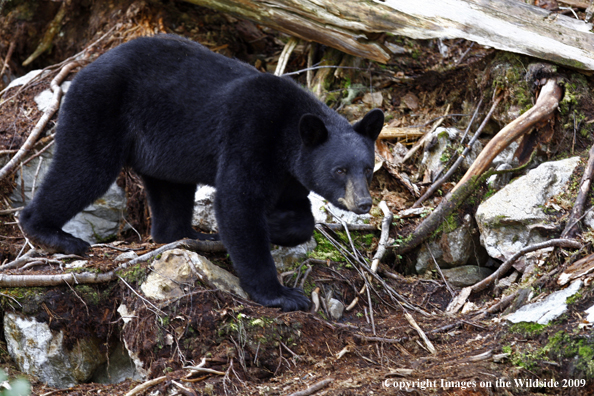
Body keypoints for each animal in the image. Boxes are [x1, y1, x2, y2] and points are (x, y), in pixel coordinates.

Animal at [19, 34, 384, 312]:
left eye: (368, 169)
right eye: (340, 170)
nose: (364, 203)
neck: (286, 133)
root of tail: (82, 69)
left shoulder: (291, 174)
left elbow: (298, 215)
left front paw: (276, 225)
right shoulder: (250, 135)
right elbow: (237, 203)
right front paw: (280, 295)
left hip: (162, 151)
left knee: (171, 192)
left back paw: (190, 235)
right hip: (99, 108)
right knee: (84, 169)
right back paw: (52, 233)